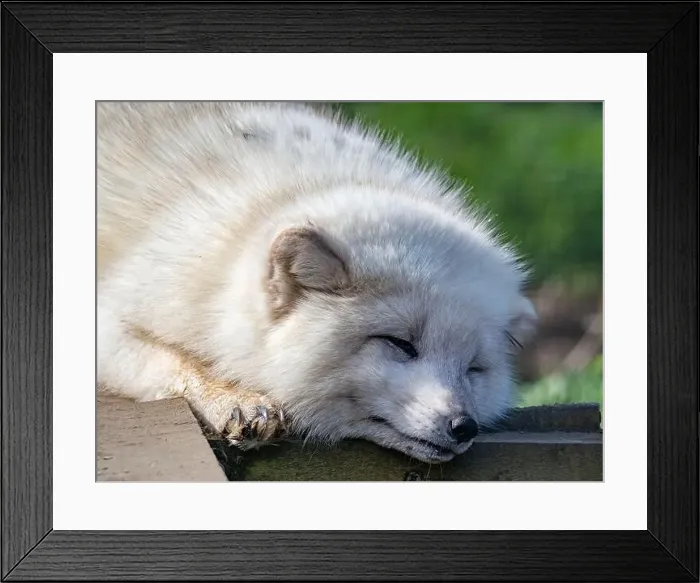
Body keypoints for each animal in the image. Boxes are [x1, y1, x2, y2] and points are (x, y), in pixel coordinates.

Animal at [96, 101, 538, 464]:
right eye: (399, 343)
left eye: (474, 368)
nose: (464, 426)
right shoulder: (118, 312)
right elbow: (179, 364)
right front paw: (233, 401)